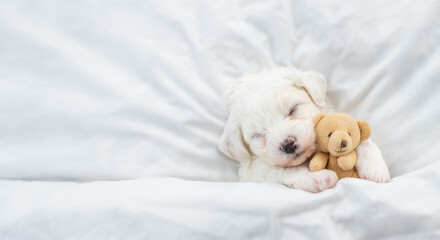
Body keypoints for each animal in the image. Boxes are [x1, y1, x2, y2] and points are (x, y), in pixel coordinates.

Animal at [218, 66, 390, 192]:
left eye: (293, 110)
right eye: (258, 135)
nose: (288, 145)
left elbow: (360, 137)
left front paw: (375, 169)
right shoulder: (256, 172)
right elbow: (284, 171)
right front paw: (320, 178)